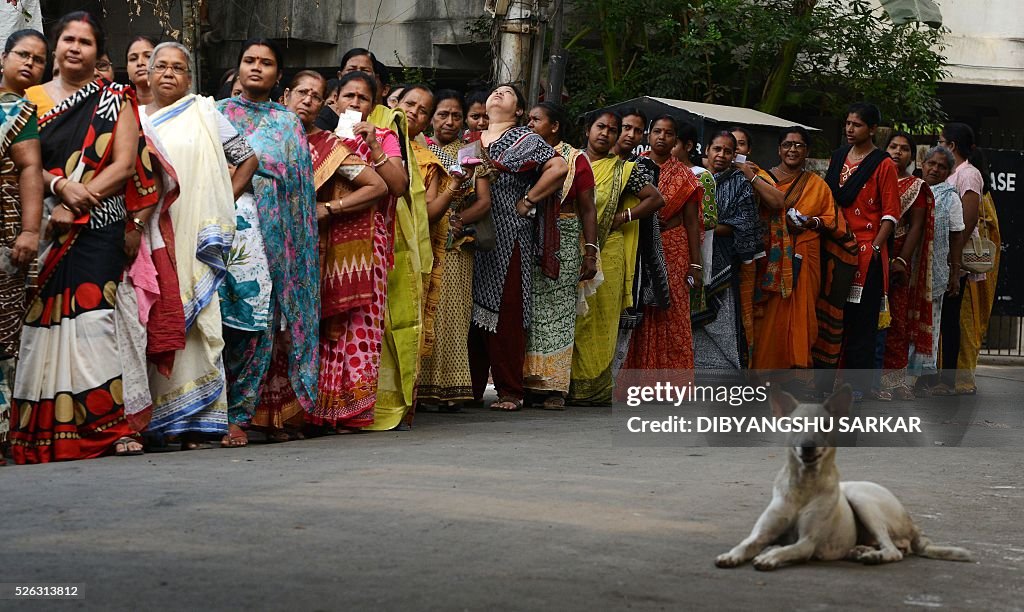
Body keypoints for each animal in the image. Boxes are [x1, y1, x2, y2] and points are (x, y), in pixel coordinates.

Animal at [716, 386, 970, 573]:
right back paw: (861, 550)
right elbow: (746, 544)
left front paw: (770, 556)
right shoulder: (761, 534)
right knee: (898, 546)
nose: (808, 446)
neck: (803, 485)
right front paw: (731, 555)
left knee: (894, 550)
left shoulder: (807, 543)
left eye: (825, 425)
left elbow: (786, 550)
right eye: (796, 424)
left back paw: (873, 556)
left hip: (861, 499)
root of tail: (912, 522)